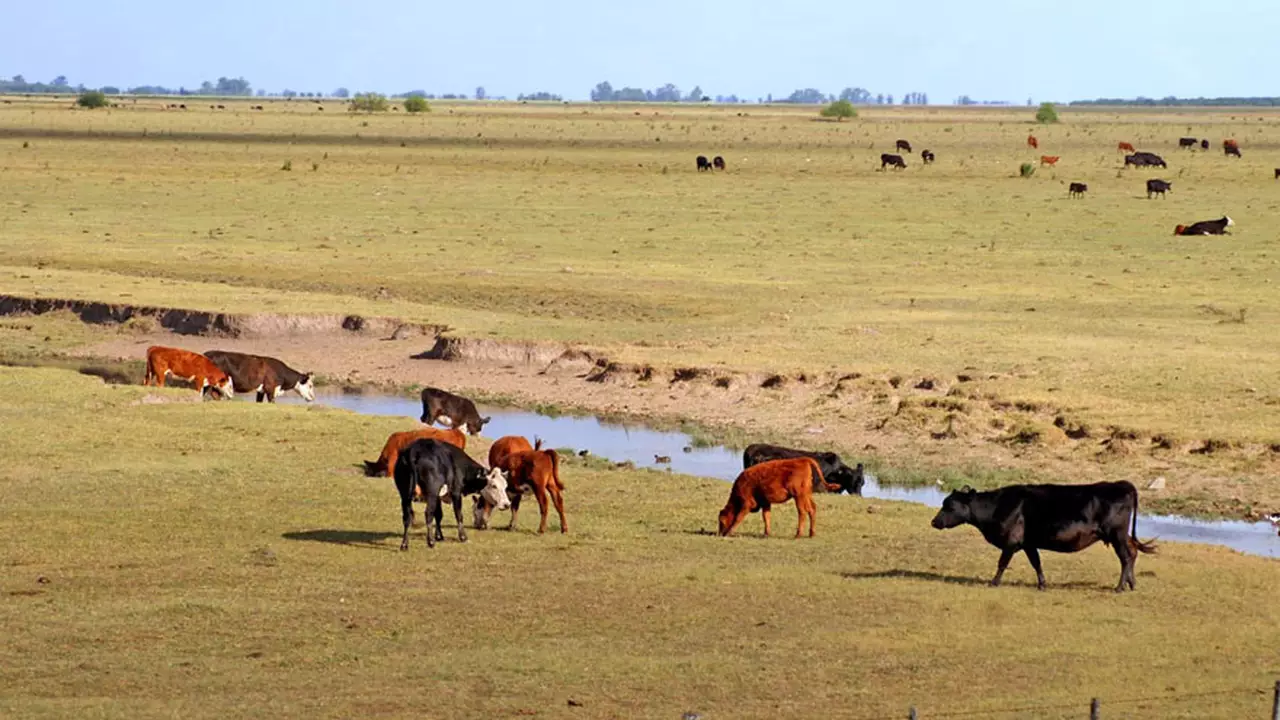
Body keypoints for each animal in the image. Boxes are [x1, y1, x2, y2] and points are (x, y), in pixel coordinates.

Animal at [931, 479, 1162, 591]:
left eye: (949, 506)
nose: (934, 522)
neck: (998, 506)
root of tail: (1122, 484)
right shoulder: (1028, 543)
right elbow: (1037, 563)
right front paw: (1042, 584)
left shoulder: (1011, 542)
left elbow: (1002, 563)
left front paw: (993, 583)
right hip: (1120, 535)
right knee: (1132, 553)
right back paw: (1131, 584)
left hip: (1116, 534)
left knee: (1126, 557)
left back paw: (1120, 587)